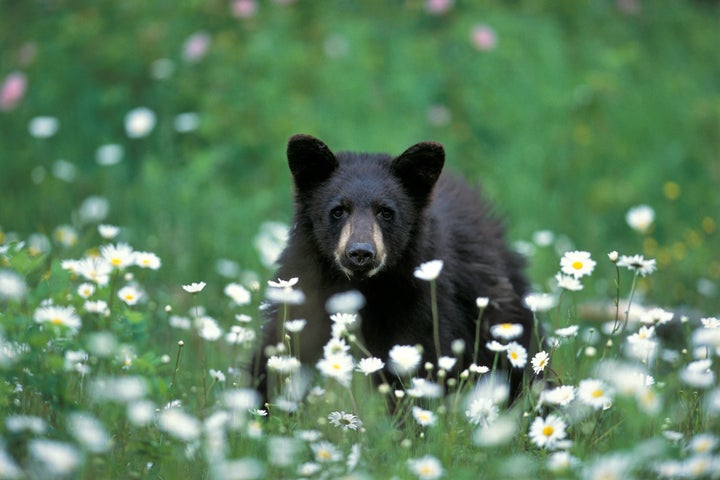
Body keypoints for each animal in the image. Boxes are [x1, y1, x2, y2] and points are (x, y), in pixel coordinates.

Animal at [257, 133, 536, 403]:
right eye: (337, 211)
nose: (360, 253)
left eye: (386, 212)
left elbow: (425, 361)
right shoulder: (305, 288)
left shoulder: (418, 304)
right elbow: (277, 350)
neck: (362, 289)